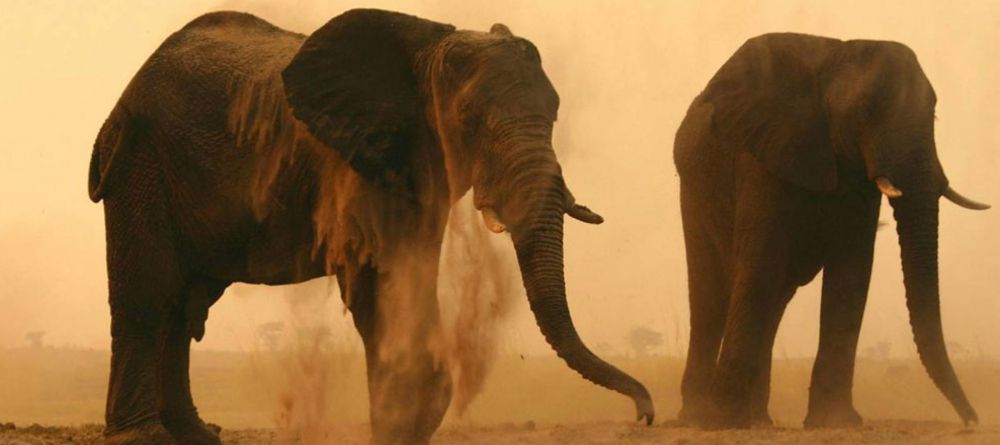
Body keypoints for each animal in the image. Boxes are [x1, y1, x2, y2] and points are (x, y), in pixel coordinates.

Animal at [88, 9, 653, 445]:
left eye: (555, 113)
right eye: (471, 118)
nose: (644, 416)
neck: (429, 50)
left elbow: (410, 276)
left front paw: (408, 420)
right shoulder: (358, 161)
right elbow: (380, 285)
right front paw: (401, 421)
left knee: (184, 306)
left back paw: (196, 435)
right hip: (142, 162)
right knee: (149, 295)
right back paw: (145, 437)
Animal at [672, 33, 989, 429]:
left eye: (933, 113)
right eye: (866, 111)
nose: (971, 419)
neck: (836, 55)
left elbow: (852, 273)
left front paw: (836, 422)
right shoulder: (763, 155)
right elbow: (761, 264)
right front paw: (725, 421)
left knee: (773, 300)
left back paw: (758, 420)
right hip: (694, 191)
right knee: (713, 295)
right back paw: (698, 417)